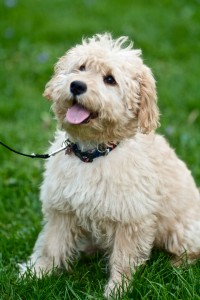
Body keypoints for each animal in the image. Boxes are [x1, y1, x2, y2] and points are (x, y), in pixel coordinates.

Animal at [19, 33, 200, 298]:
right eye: (81, 68)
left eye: (110, 80)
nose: (77, 85)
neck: (92, 153)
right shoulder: (62, 209)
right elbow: (52, 245)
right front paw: (36, 274)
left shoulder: (130, 218)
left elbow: (123, 259)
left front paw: (117, 290)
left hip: (182, 229)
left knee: (191, 251)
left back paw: (175, 265)